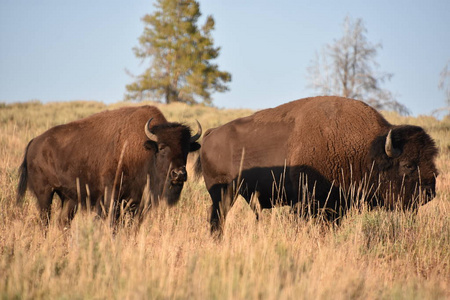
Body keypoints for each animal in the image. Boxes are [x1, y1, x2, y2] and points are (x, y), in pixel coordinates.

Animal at [16, 105, 201, 227]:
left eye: (186, 149)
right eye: (162, 147)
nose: (179, 174)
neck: (144, 149)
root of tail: (34, 143)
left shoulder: (137, 202)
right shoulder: (111, 196)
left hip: (69, 198)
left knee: (63, 221)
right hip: (45, 193)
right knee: (45, 220)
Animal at [198, 96, 440, 234]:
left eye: (432, 163)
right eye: (408, 165)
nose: (429, 193)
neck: (365, 149)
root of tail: (210, 134)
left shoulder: (337, 205)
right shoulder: (309, 203)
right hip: (223, 192)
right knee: (217, 218)